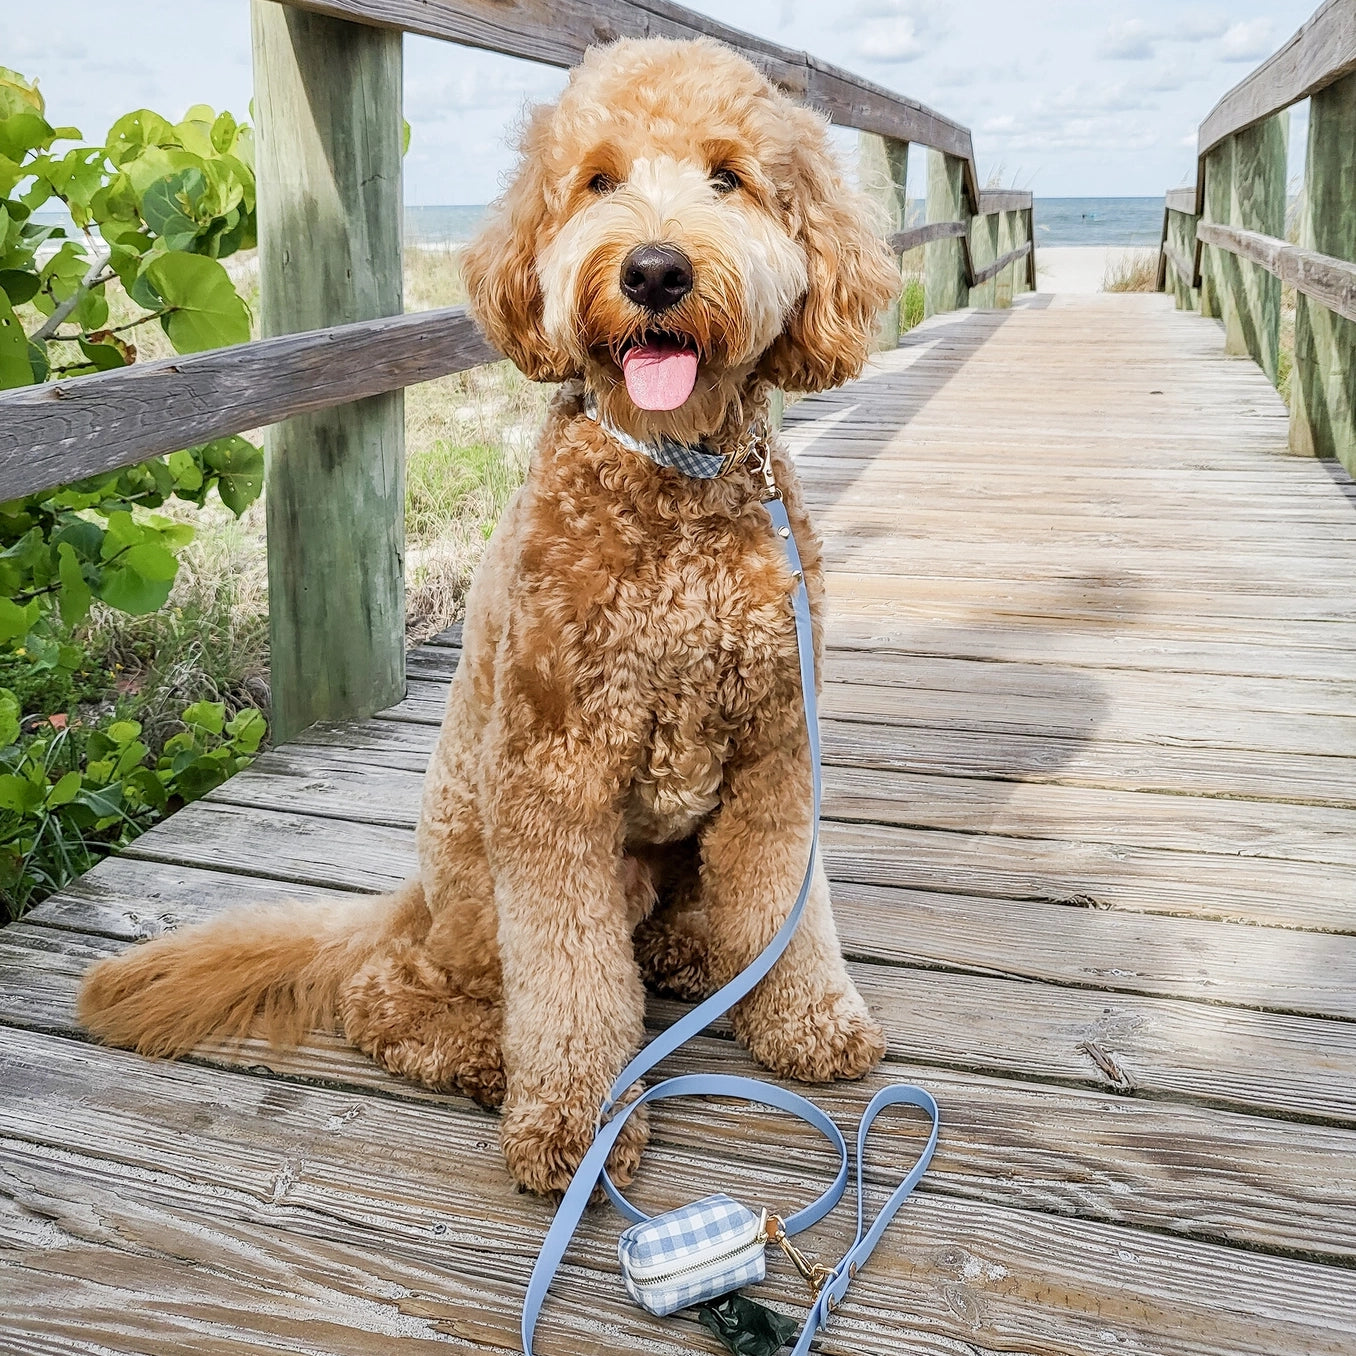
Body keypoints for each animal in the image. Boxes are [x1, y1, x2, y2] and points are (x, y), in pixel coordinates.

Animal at [74, 37, 900, 1193]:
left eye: (728, 177)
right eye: (597, 181)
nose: (653, 271)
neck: (671, 481)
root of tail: (415, 899)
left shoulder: (779, 746)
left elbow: (789, 899)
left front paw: (810, 1019)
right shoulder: (553, 778)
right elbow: (567, 979)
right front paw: (576, 1119)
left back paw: (692, 954)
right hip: (476, 875)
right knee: (391, 992)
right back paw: (489, 1057)